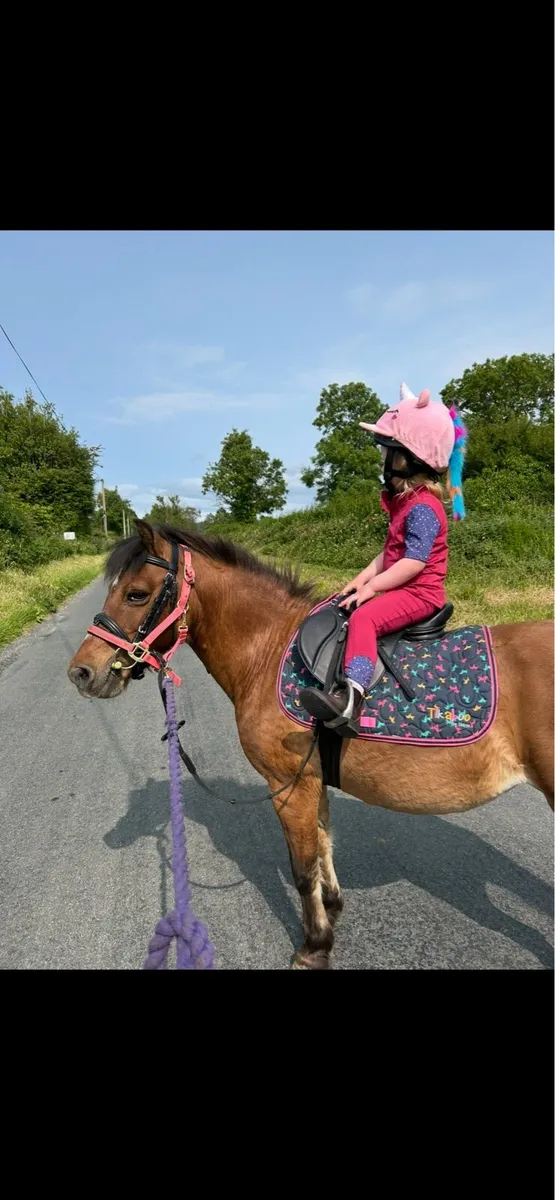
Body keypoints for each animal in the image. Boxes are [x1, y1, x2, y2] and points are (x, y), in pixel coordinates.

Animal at [67, 520, 554, 969]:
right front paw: (332, 911)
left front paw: (314, 946)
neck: (268, 649)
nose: (81, 673)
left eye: (136, 594)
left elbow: (302, 869)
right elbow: (323, 845)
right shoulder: (312, 779)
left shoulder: (288, 785)